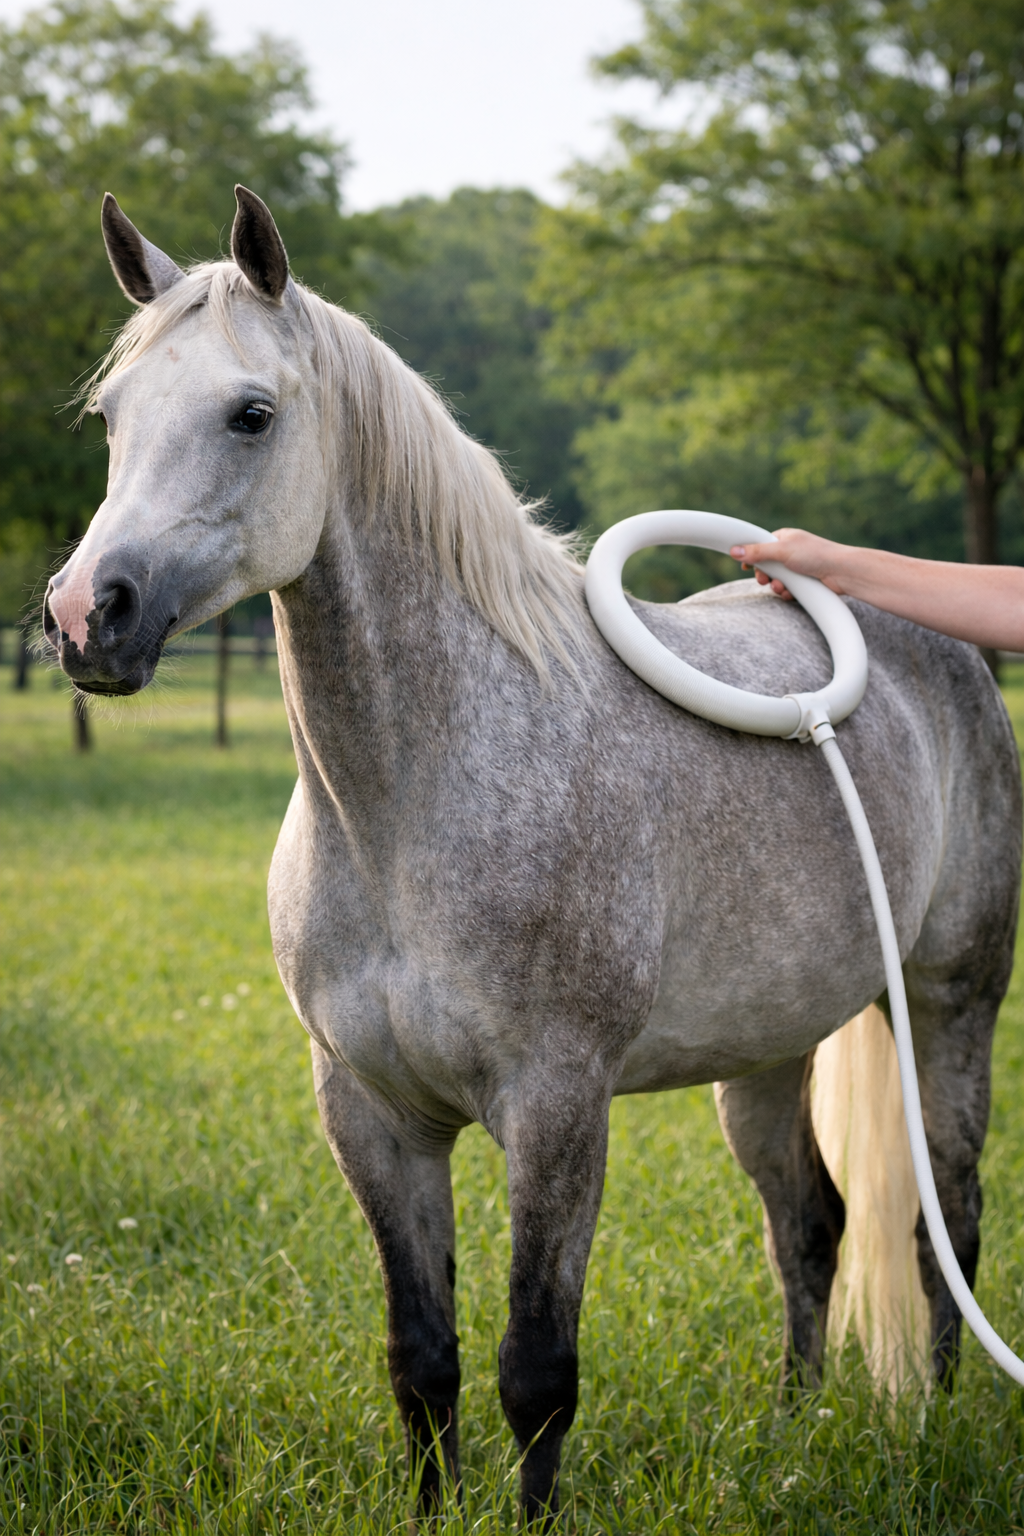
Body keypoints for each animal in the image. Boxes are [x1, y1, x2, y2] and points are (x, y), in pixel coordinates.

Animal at [43, 186, 1021, 1522]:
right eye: (110, 417)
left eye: (251, 414)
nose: (88, 614)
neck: (411, 803)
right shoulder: (372, 1117)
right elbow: (423, 1359)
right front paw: (427, 1511)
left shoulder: (554, 1110)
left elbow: (535, 1369)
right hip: (767, 1049)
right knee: (810, 1225)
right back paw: (793, 1434)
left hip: (946, 1008)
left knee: (943, 1226)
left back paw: (930, 1430)